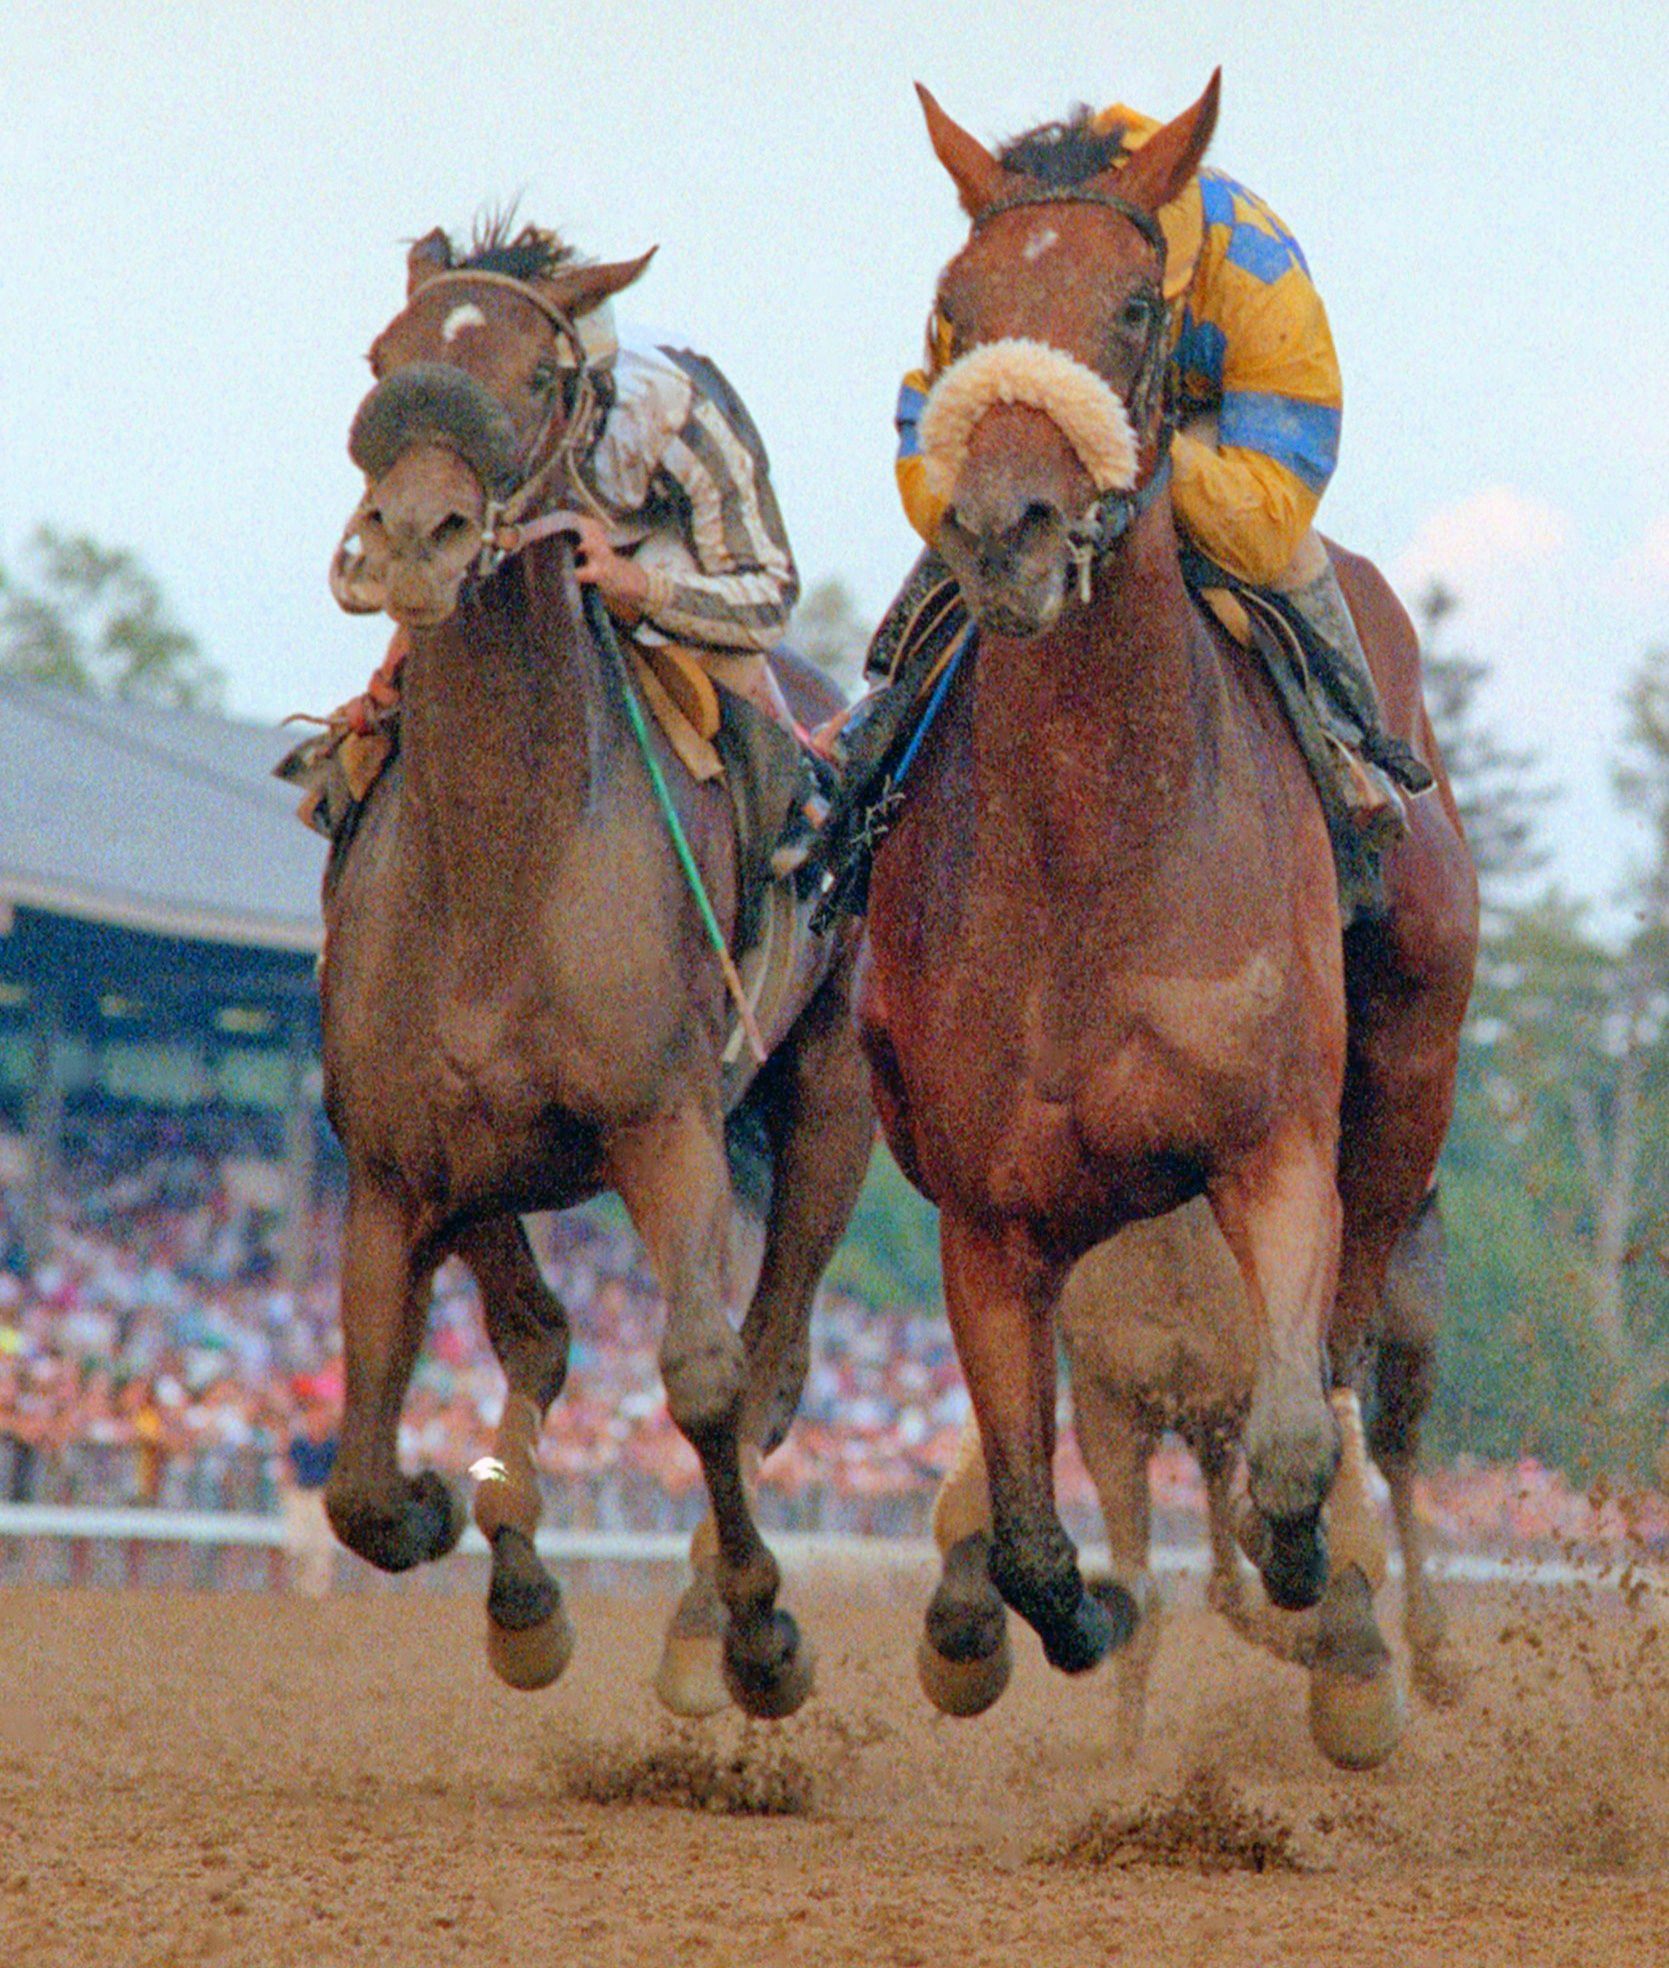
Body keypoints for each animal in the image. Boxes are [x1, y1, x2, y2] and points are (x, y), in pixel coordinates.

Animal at [318, 223, 881, 1716]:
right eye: (386, 359)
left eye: (535, 374)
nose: (415, 537)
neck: (506, 858)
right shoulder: (404, 1161)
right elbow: (365, 1460)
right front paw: (474, 1534)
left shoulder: (664, 1123)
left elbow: (700, 1376)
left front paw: (761, 1630)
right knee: (549, 1338)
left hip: (829, 1095)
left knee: (773, 1361)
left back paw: (704, 1615)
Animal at [854, 69, 1480, 1747]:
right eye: (951, 309)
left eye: (1136, 306)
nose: (1003, 527)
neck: (1095, 843)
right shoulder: (993, 1216)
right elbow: (1028, 1531)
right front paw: (1022, 1617)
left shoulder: (1272, 1149)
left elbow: (1290, 1453)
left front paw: (1314, 1597)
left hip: (1405, 1088)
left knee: (1355, 1379)